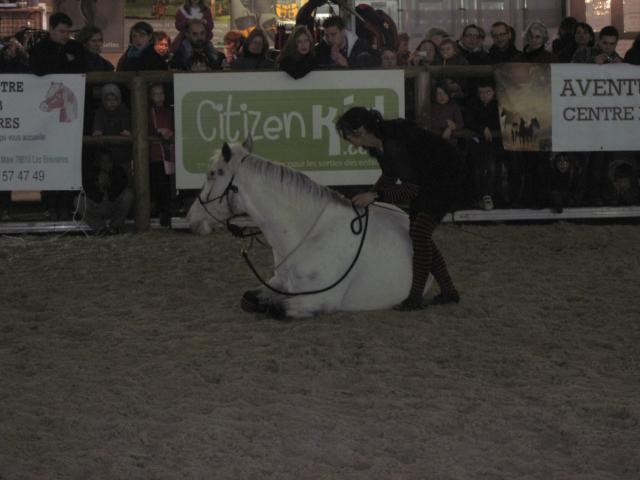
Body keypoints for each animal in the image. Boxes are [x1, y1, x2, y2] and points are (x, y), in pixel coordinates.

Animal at [188, 138, 432, 318]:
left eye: (212, 174)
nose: (191, 218)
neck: (306, 237)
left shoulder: (317, 300)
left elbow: (275, 308)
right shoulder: (278, 282)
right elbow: (247, 299)